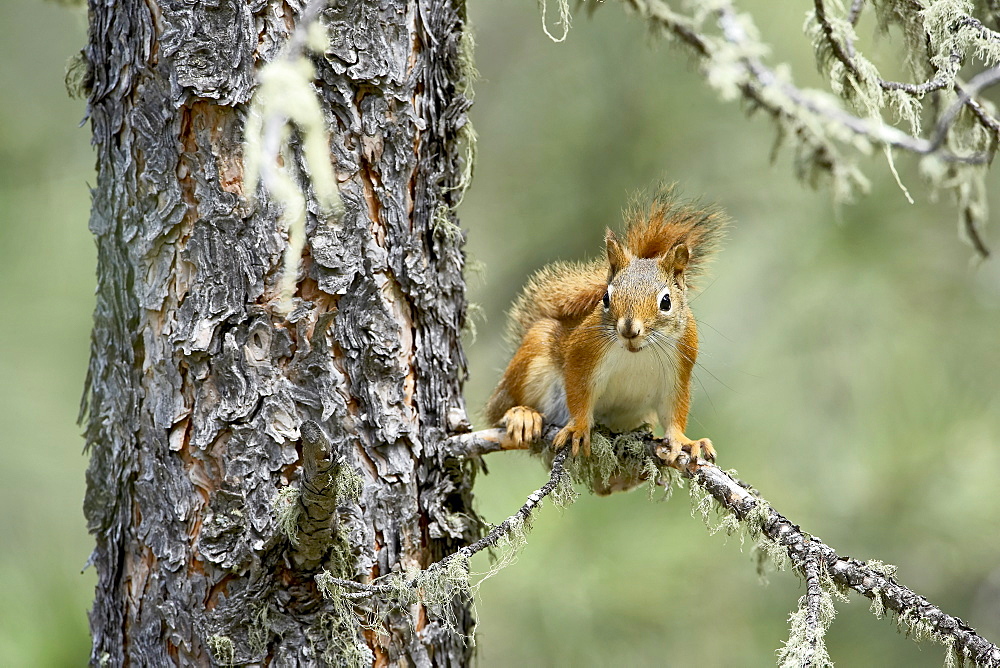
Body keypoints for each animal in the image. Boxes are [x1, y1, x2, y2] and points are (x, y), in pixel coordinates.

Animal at [486, 185, 728, 462]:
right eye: (605, 298)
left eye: (666, 302)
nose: (629, 329)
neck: (637, 353)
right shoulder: (582, 354)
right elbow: (579, 395)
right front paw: (579, 428)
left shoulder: (680, 369)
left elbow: (675, 412)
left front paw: (685, 441)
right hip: (532, 355)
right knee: (499, 412)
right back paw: (523, 415)